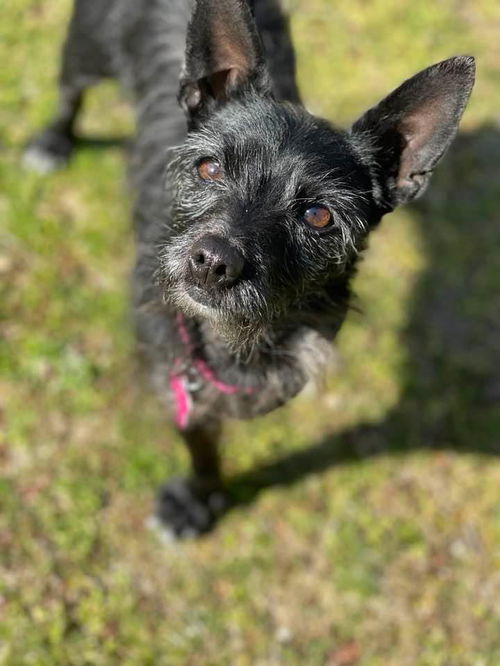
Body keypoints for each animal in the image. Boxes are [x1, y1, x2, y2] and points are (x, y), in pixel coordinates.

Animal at [24, 0, 476, 536]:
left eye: (318, 215)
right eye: (209, 169)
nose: (213, 260)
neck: (239, 337)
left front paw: (200, 498)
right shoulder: (180, 379)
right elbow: (200, 439)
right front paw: (197, 499)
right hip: (86, 45)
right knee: (69, 89)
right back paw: (54, 140)